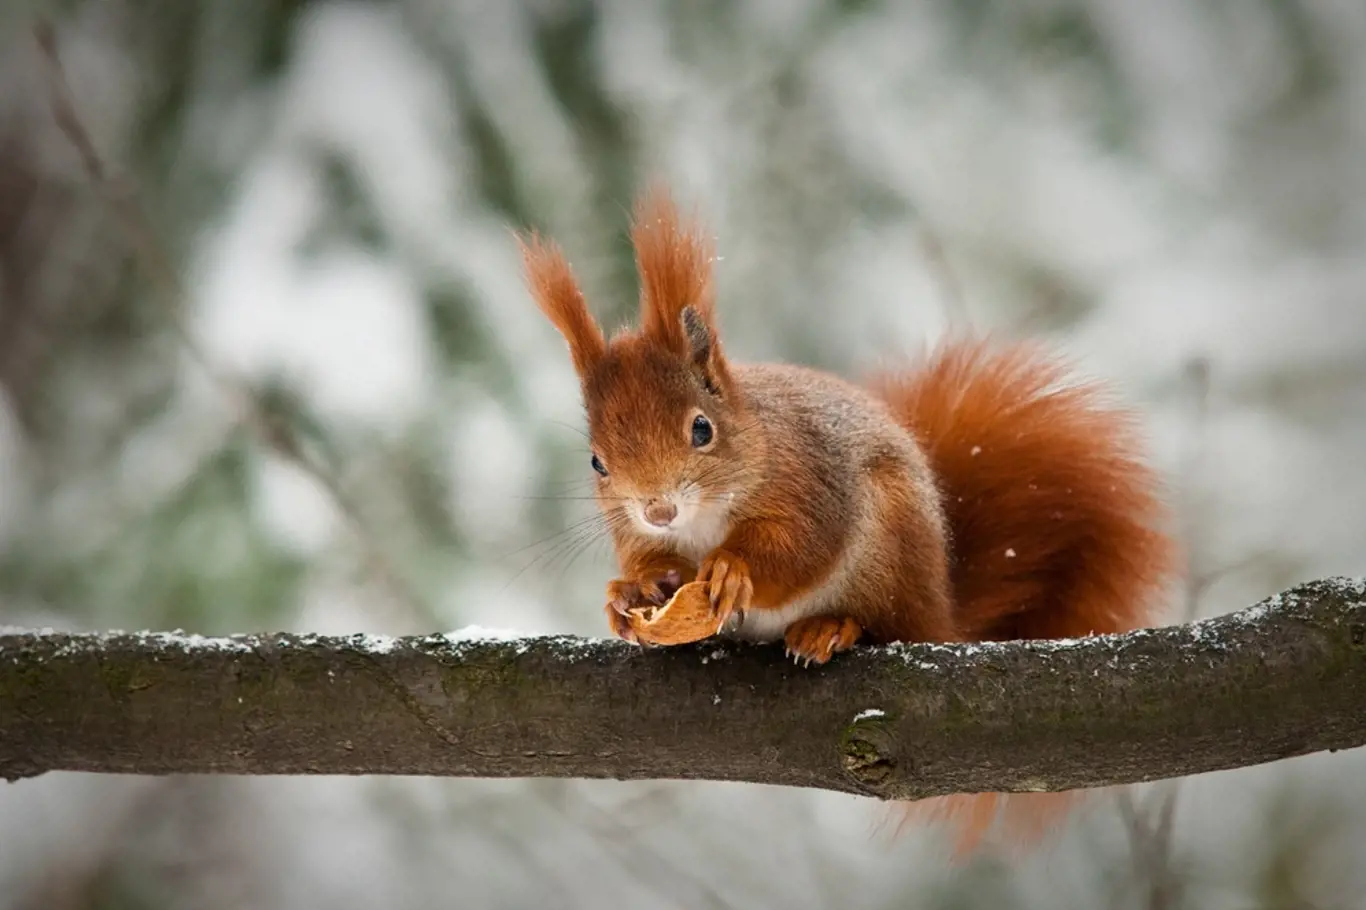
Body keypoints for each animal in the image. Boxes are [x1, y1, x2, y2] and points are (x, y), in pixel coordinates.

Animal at [516, 184, 1180, 852]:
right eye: (597, 462)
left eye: (701, 429)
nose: (657, 507)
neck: (702, 520)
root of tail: (942, 609)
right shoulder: (636, 531)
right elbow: (647, 561)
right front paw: (631, 593)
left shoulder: (812, 485)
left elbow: (801, 549)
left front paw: (732, 572)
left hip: (890, 551)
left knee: (885, 623)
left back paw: (830, 628)